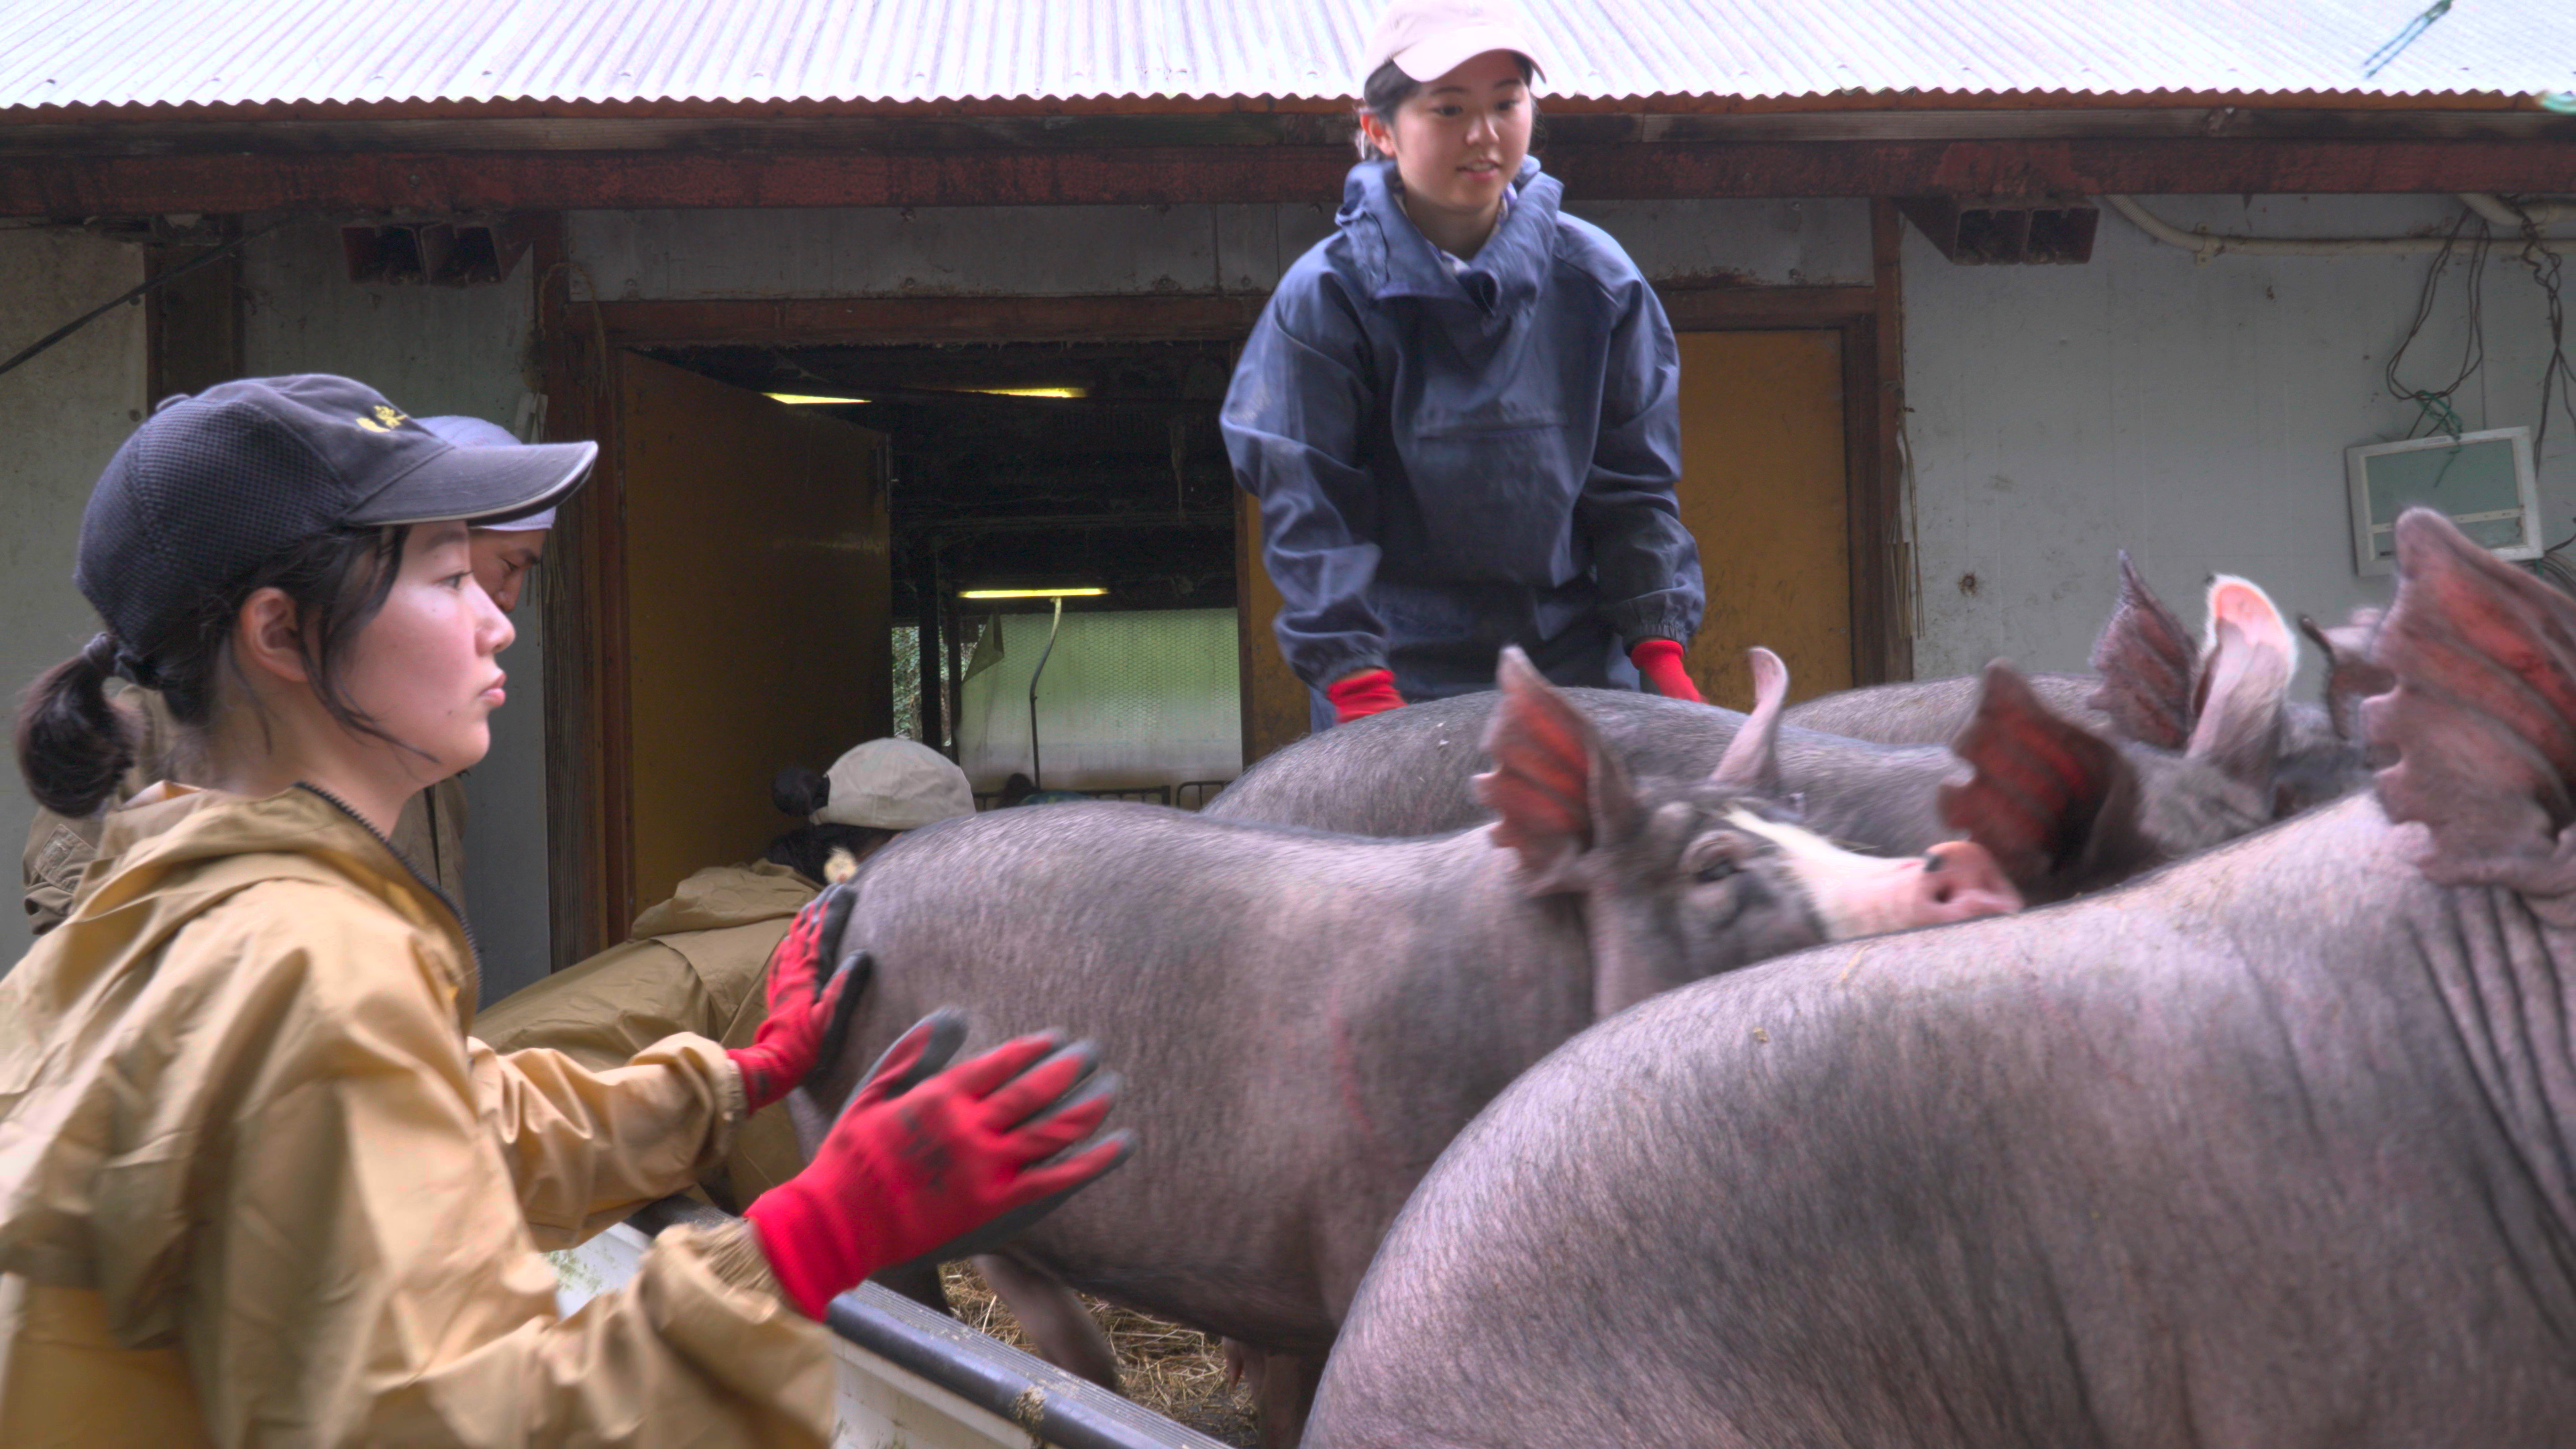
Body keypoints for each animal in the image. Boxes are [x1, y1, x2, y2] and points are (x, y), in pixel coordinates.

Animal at [814, 649, 2019, 1433]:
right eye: (1714, 868)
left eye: (1805, 821)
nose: (1958, 869)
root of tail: (855, 893)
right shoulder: (1356, 1219)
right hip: (852, 1114)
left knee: (1034, 1291)